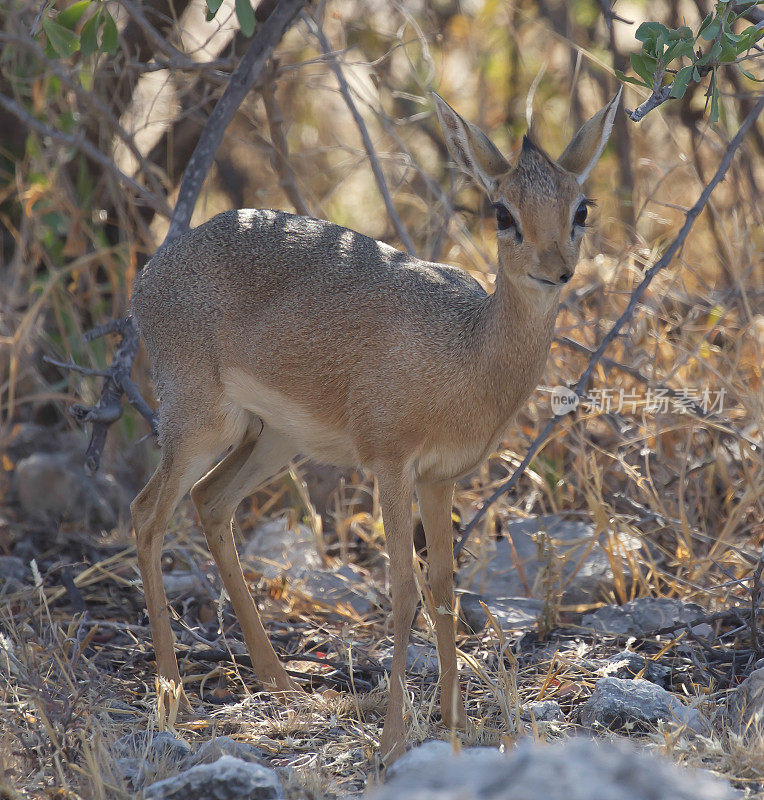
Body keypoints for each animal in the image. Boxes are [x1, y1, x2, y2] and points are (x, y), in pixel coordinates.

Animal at [130, 90, 620, 760]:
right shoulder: (391, 464)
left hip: (273, 439)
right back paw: (173, 697)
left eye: (581, 207)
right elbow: (403, 591)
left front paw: (452, 723)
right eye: (502, 212)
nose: (556, 269)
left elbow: (443, 588)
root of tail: (151, 273)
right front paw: (391, 741)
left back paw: (283, 685)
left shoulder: (441, 477)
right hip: (200, 424)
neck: (469, 351)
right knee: (147, 515)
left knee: (210, 502)